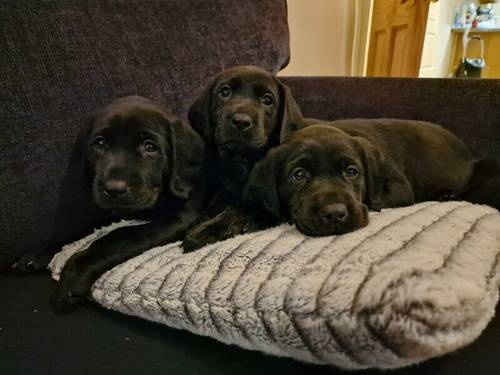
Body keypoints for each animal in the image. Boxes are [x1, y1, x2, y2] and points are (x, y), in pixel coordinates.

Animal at [50, 96, 207, 308]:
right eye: (99, 143)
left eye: (150, 147)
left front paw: (76, 270)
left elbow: (122, 235)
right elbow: (85, 228)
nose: (114, 189)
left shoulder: (180, 216)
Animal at [182, 66, 302, 251]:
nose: (241, 121)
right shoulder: (228, 189)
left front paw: (205, 232)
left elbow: (236, 209)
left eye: (267, 99)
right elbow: (218, 201)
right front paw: (200, 222)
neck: (245, 160)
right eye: (225, 92)